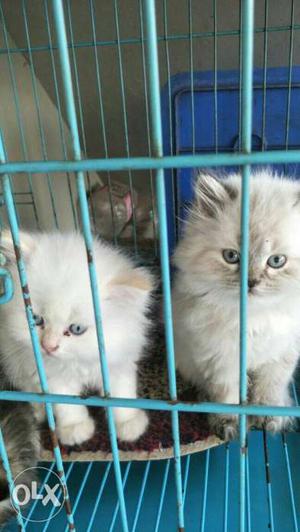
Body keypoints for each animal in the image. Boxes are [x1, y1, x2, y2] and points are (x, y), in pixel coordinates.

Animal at [0, 232, 154, 444]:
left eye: (77, 329)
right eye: (36, 319)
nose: (48, 346)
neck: (80, 362)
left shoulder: (119, 362)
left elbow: (121, 393)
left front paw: (128, 423)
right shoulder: (52, 374)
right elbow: (65, 402)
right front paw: (75, 428)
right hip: (14, 358)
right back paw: (38, 411)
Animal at [172, 172, 300, 438]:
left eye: (276, 261)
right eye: (231, 257)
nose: (251, 283)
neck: (254, 316)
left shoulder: (282, 354)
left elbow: (270, 389)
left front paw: (269, 418)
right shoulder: (221, 358)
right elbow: (227, 396)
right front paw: (228, 424)